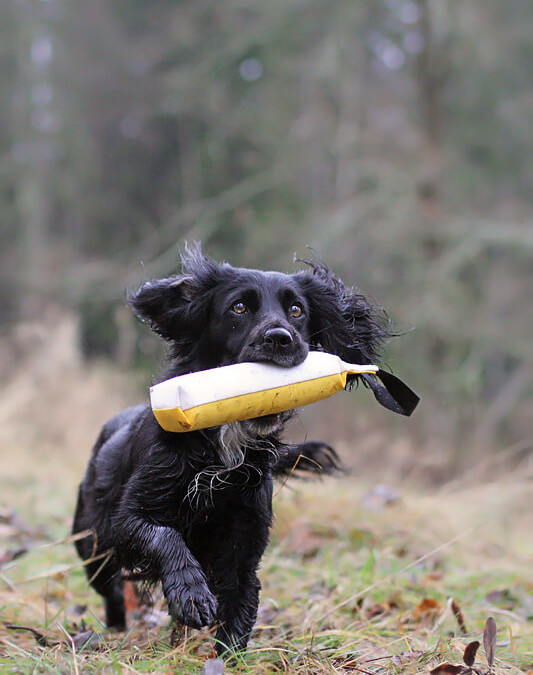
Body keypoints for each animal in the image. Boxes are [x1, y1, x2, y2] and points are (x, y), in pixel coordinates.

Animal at [72, 247, 402, 656]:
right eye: (239, 307)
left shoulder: (243, 547)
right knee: (112, 591)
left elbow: (239, 612)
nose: (280, 338)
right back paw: (115, 631)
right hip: (91, 545)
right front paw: (190, 593)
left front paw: (224, 653)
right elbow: (165, 535)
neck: (227, 441)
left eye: (297, 311)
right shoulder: (128, 518)